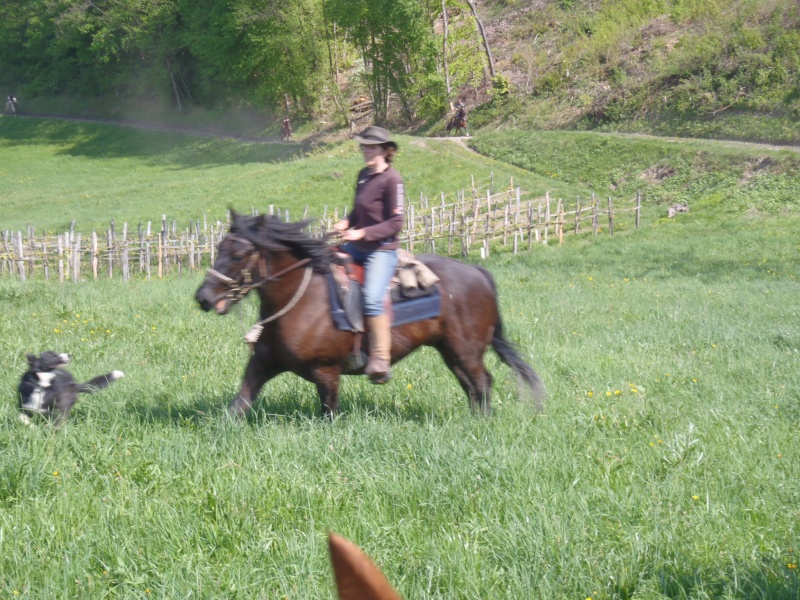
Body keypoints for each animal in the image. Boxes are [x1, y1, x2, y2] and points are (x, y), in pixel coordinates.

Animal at [194, 214, 544, 418]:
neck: (302, 300)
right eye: (218, 249)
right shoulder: (261, 365)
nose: (204, 298)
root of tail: (477, 271)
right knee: (470, 384)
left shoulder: (327, 373)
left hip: (467, 351)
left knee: (482, 382)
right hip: (451, 352)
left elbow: (329, 414)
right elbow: (238, 406)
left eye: (238, 255)